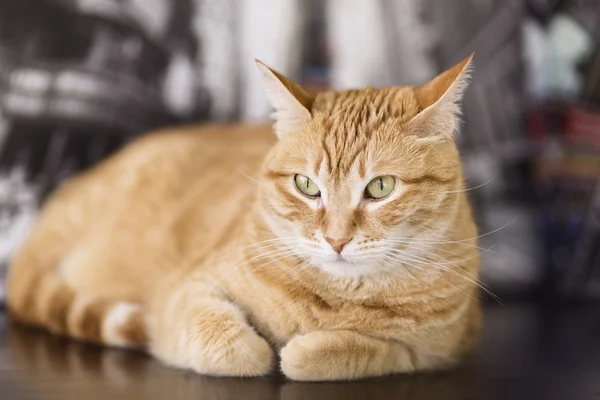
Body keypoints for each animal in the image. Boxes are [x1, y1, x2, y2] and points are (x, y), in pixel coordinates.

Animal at [5, 54, 482, 382]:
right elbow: (231, 348)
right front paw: (264, 351)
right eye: (306, 185)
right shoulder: (186, 292)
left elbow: (370, 353)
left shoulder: (440, 349)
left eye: (381, 187)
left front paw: (306, 350)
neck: (335, 297)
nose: (335, 239)